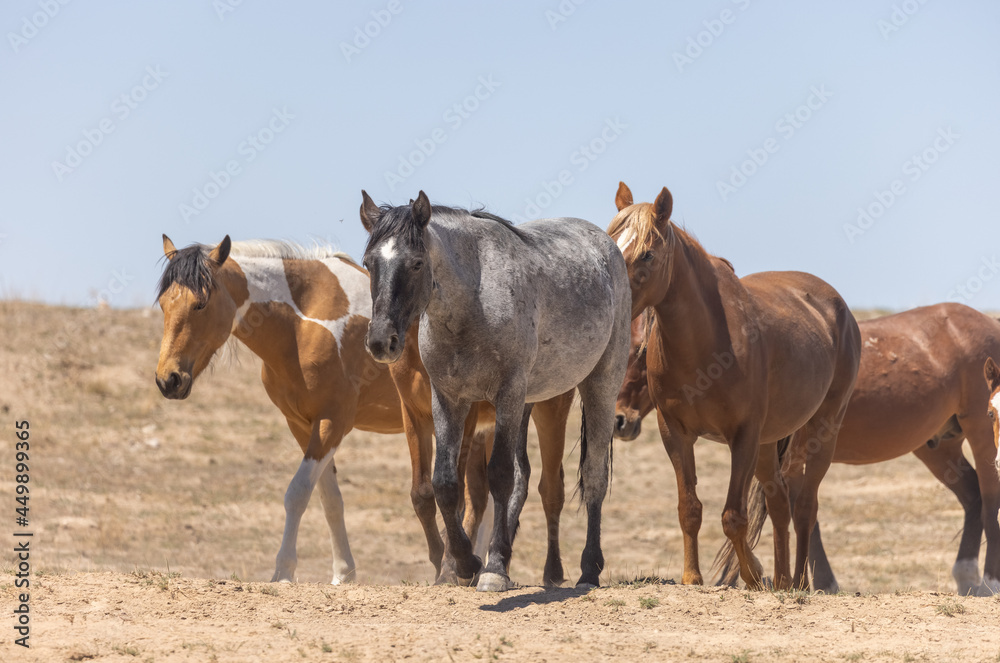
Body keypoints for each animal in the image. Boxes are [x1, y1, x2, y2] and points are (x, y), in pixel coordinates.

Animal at [360, 191, 628, 592]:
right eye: (368, 263)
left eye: (417, 263)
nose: (381, 341)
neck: (474, 305)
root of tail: (606, 244)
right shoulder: (448, 402)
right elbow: (445, 484)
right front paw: (468, 563)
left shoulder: (506, 395)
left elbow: (498, 476)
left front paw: (492, 569)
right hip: (527, 404)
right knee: (524, 478)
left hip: (597, 386)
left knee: (594, 475)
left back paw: (588, 570)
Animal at [604, 183, 864, 592]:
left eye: (647, 253)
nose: (619, 421)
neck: (707, 344)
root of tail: (838, 308)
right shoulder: (675, 433)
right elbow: (690, 508)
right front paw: (692, 576)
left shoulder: (743, 435)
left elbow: (732, 516)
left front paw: (752, 573)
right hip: (769, 444)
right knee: (780, 503)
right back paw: (783, 580)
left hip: (822, 430)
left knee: (805, 505)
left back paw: (799, 583)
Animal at [620, 304, 1000, 600]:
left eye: (640, 352)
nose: (620, 420)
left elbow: (798, 512)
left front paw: (810, 580)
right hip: (939, 447)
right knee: (972, 498)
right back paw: (967, 578)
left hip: (981, 433)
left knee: (988, 497)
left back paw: (990, 580)